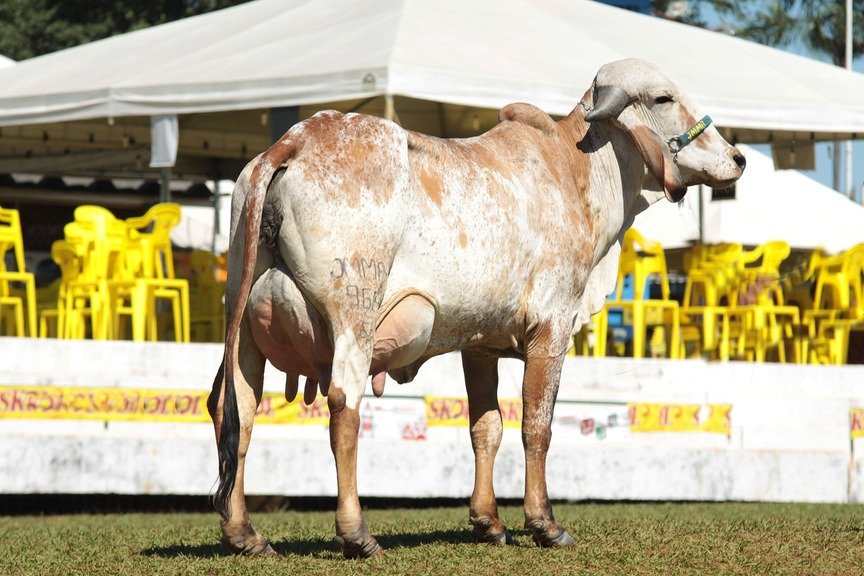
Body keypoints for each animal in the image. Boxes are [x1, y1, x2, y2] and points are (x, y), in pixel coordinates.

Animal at [206, 58, 744, 560]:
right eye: (662, 97)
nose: (737, 158)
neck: (575, 171)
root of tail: (295, 140)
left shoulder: (479, 344)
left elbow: (486, 428)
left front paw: (489, 522)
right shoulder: (552, 327)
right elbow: (536, 427)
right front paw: (544, 524)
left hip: (242, 323)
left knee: (236, 407)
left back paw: (244, 534)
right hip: (353, 318)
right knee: (344, 407)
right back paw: (356, 533)